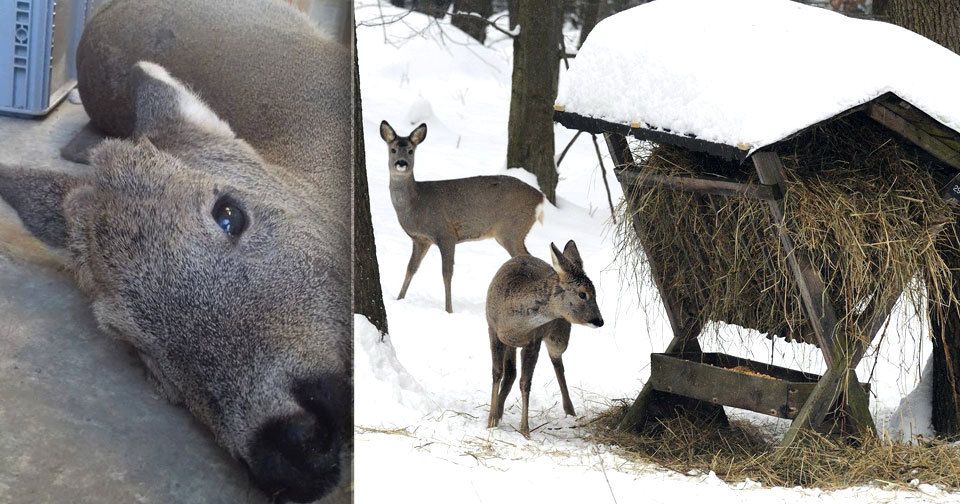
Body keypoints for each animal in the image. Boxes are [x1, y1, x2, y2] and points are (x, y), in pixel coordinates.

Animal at [376, 120, 544, 314]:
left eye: (411, 150)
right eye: (393, 149)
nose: (401, 163)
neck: (416, 203)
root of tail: (540, 198)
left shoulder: (446, 233)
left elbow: (446, 273)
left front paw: (449, 310)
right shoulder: (420, 239)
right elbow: (411, 268)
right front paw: (399, 299)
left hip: (512, 229)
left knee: (528, 257)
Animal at [488, 240, 600, 438]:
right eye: (582, 294)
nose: (600, 320)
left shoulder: (534, 339)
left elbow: (526, 383)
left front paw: (525, 430)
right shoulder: (493, 329)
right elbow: (497, 373)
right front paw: (491, 421)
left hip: (559, 336)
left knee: (558, 363)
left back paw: (570, 411)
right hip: (513, 343)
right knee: (511, 372)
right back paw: (499, 410)